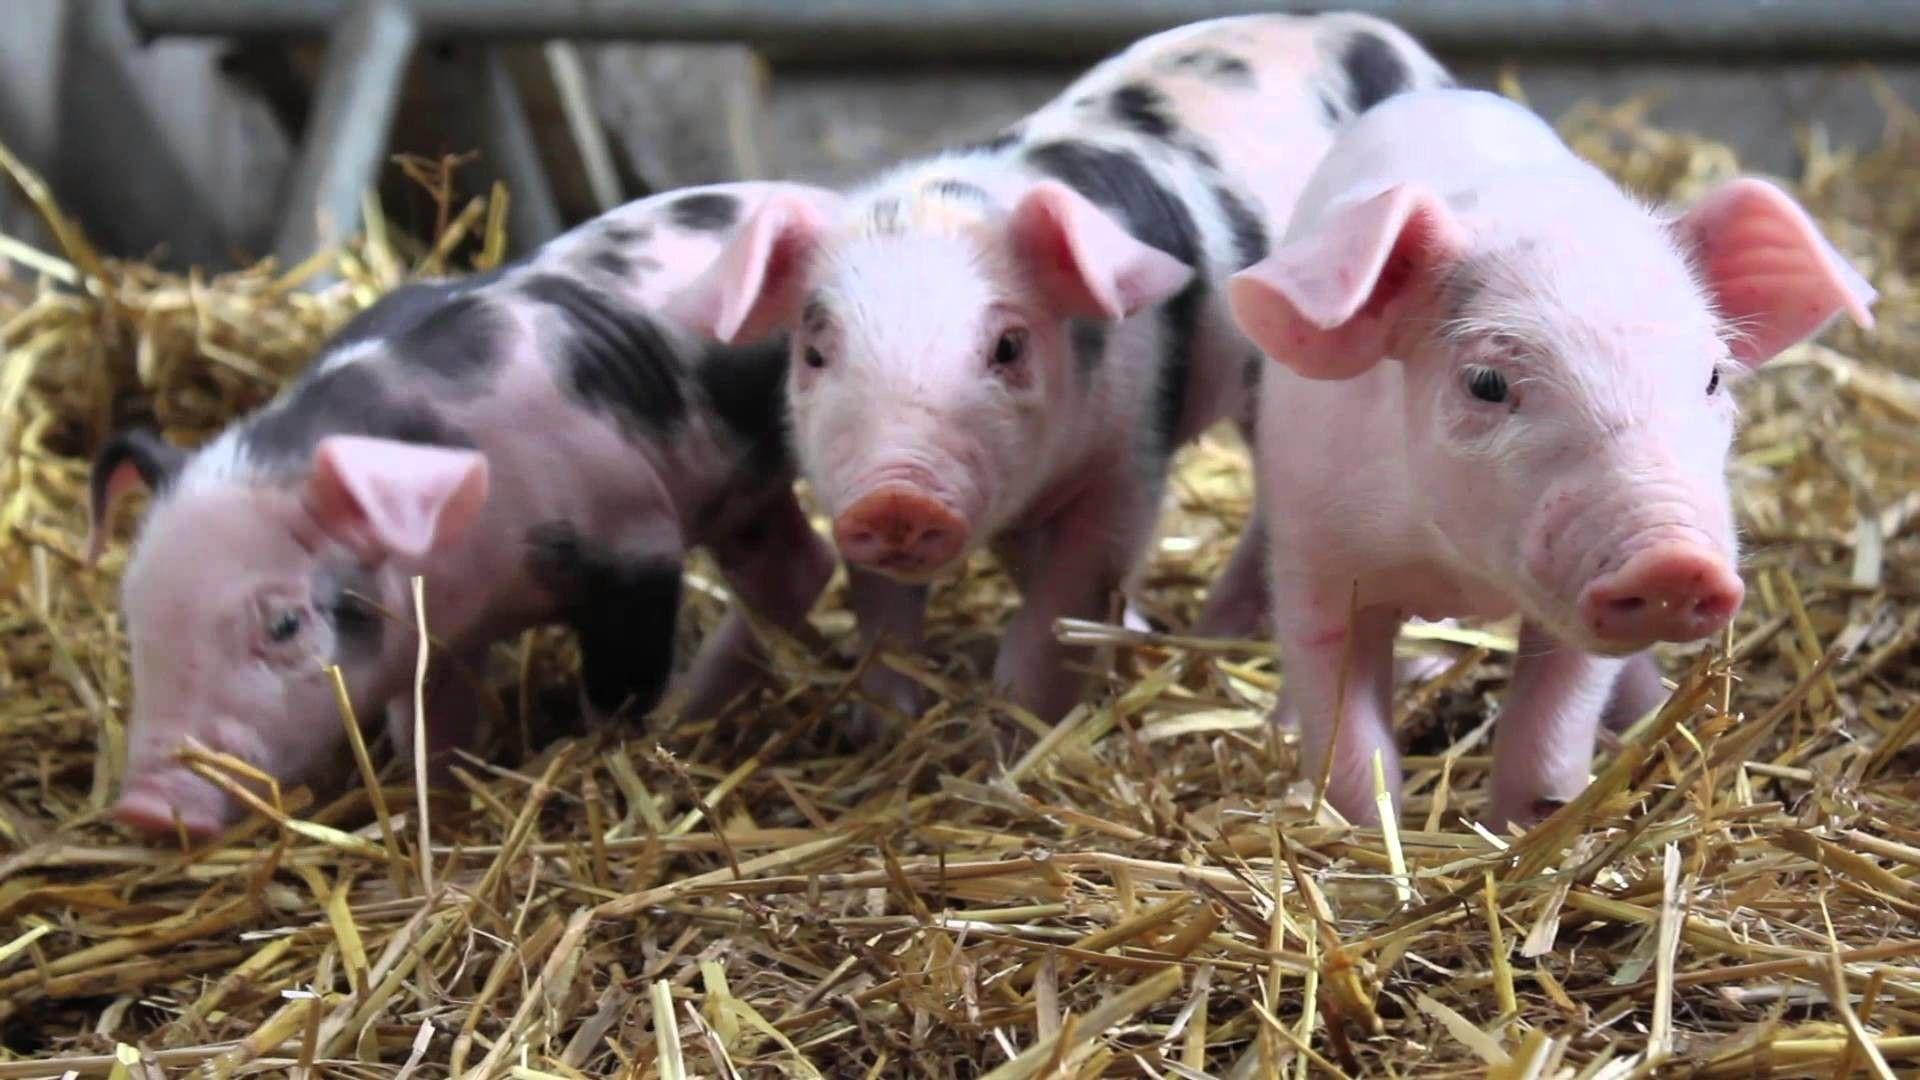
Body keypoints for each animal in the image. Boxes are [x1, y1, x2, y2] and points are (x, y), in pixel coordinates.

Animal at [89, 181, 844, 838]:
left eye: (284, 624)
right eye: (133, 618)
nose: (144, 807)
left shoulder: (635, 543)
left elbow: (618, 689)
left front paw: (602, 752)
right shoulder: (436, 633)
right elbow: (429, 723)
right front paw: (443, 789)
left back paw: (691, 710)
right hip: (739, 494)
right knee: (798, 570)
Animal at [668, 14, 1451, 724]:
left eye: (1009, 347)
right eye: (815, 351)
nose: (896, 497)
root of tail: (1393, 38)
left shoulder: (1127, 459)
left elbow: (1061, 606)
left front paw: (1018, 730)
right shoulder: (843, 480)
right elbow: (886, 612)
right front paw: (882, 726)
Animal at [1227, 88, 1877, 828]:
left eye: (1712, 376)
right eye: (1486, 382)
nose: (1674, 560)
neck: (1455, 571)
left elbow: (1553, 717)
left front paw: (1532, 821)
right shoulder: (1316, 553)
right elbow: (1345, 723)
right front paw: (1366, 831)